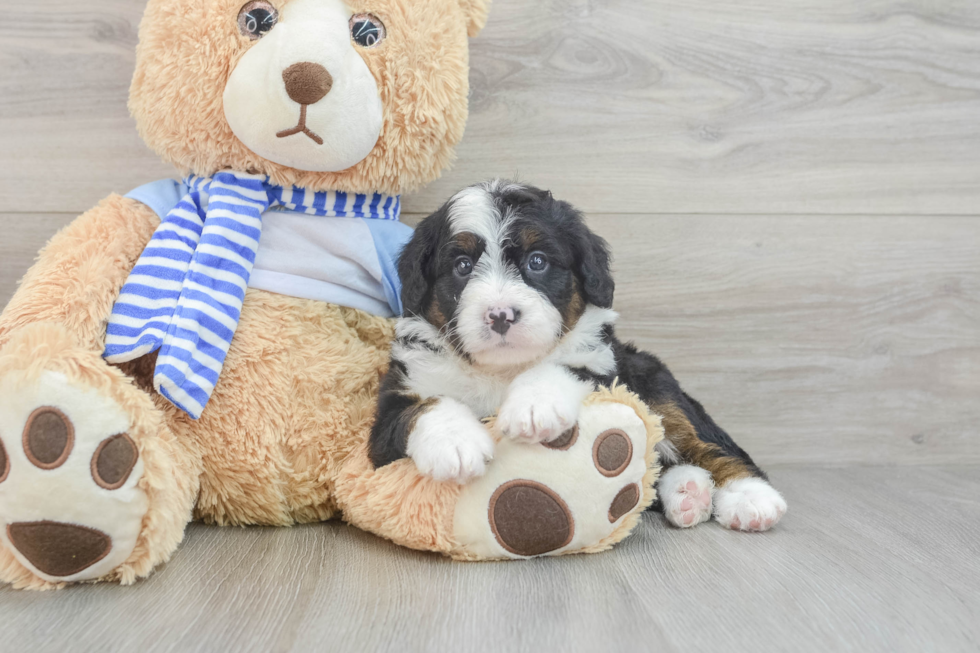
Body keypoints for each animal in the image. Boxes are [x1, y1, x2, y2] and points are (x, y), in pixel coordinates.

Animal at [368, 178, 788, 528]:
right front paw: (456, 444)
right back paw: (689, 493)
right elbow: (424, 407)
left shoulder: (606, 369)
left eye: (537, 261)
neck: (502, 372)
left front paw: (533, 407)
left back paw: (748, 496)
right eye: (462, 266)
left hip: (654, 380)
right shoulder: (387, 420)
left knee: (704, 441)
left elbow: (563, 368)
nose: (500, 315)